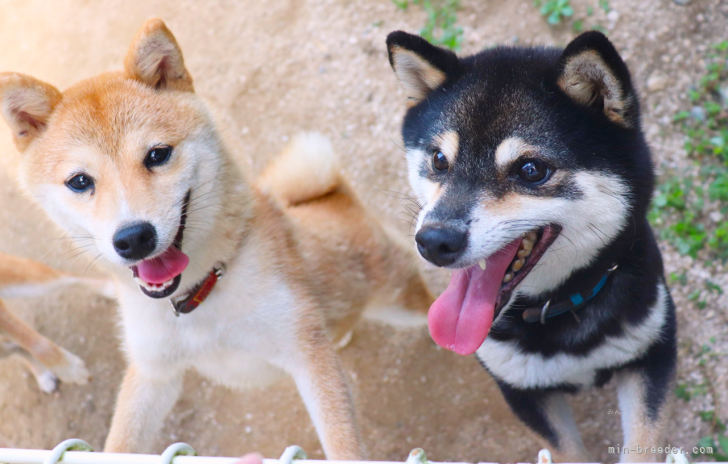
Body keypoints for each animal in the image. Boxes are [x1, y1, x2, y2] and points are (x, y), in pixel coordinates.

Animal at [0, 252, 114, 394]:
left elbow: (39, 346)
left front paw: (71, 370)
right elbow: (26, 346)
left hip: (28, 281)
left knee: (69, 278)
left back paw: (112, 289)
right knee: (17, 348)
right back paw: (42, 375)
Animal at [386, 30, 676, 462]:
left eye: (531, 169)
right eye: (439, 159)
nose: (434, 241)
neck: (558, 308)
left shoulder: (652, 352)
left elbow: (644, 442)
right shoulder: (521, 390)